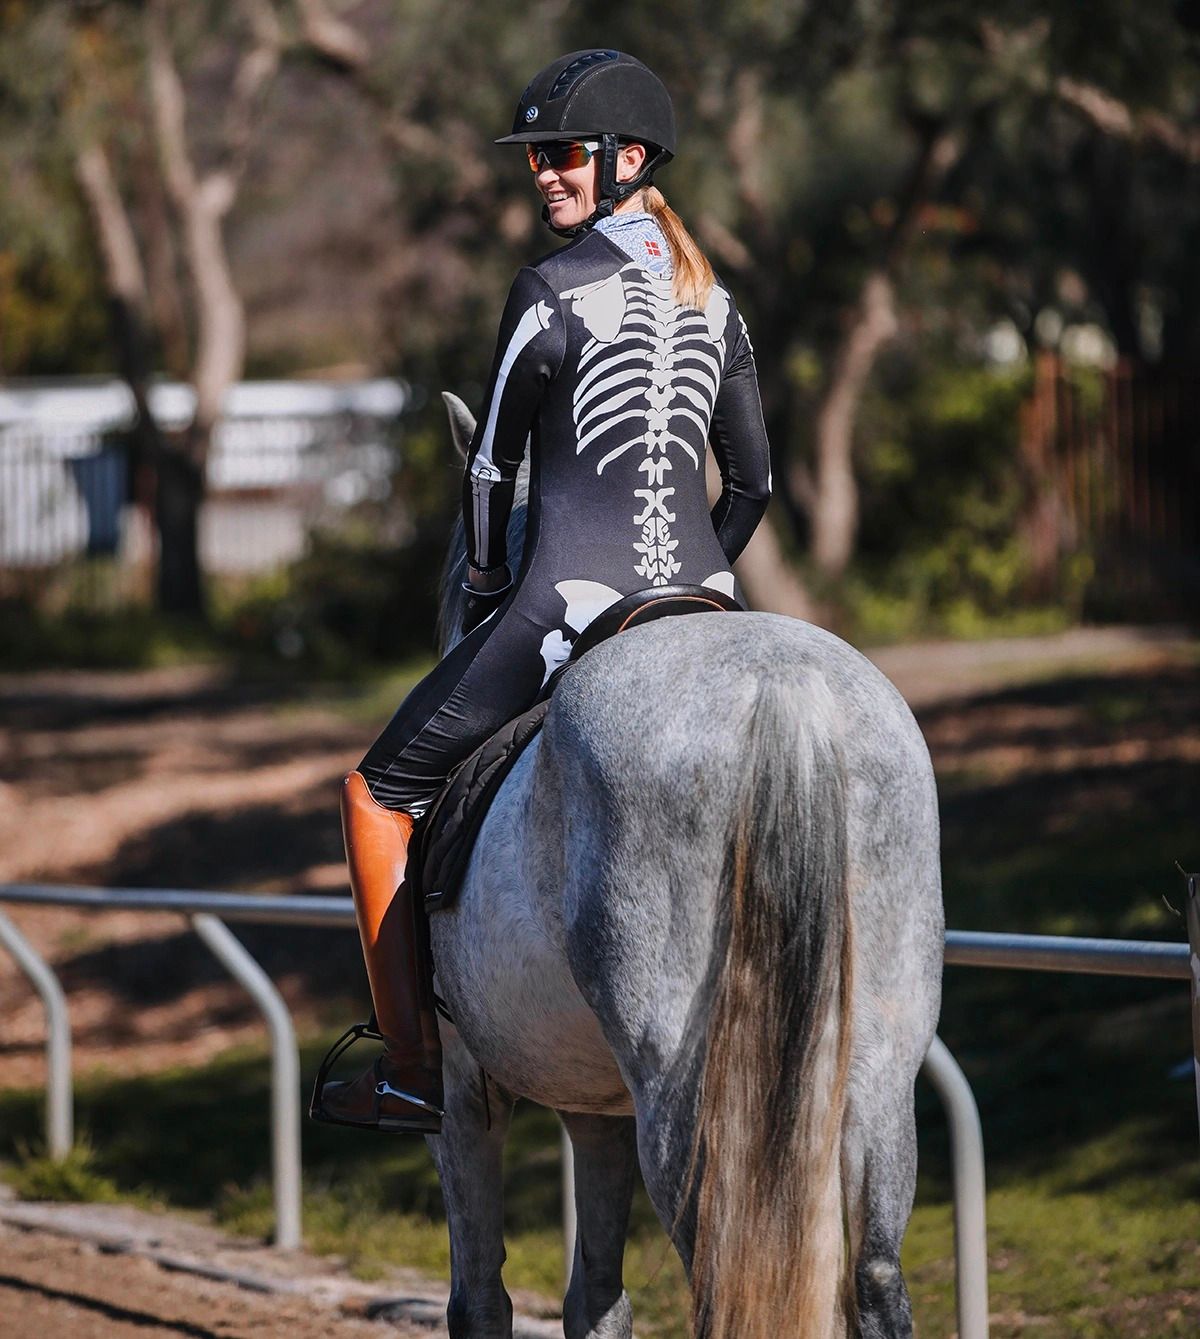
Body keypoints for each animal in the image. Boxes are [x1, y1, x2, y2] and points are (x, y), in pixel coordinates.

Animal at [425, 393, 942, 1339]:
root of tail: (782, 682)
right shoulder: (594, 1104)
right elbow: (596, 1298)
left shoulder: (461, 1087)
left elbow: (481, 1297)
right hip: (880, 1073)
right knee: (876, 1276)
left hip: (684, 1092)